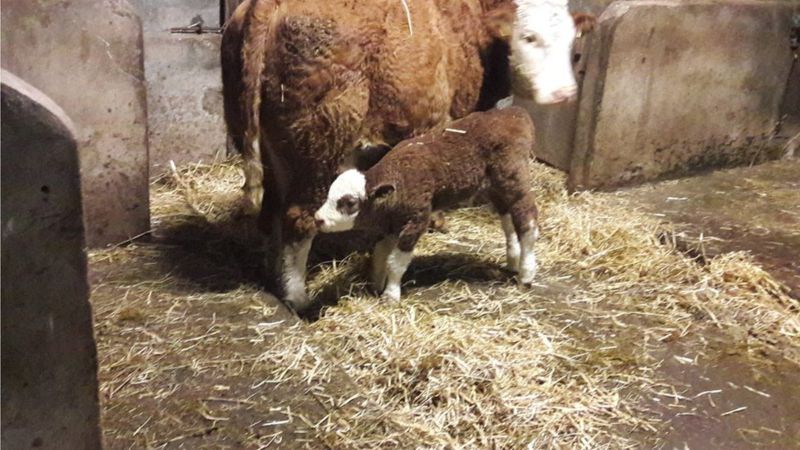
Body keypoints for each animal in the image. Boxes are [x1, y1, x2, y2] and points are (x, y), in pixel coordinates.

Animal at [312, 107, 536, 300]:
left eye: (350, 202)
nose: (318, 219)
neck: (397, 180)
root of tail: (516, 113)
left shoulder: (416, 219)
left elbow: (395, 262)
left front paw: (390, 296)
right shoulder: (392, 224)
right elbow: (380, 254)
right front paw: (375, 285)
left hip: (514, 176)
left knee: (527, 219)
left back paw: (526, 274)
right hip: (496, 185)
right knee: (508, 219)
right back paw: (513, 261)